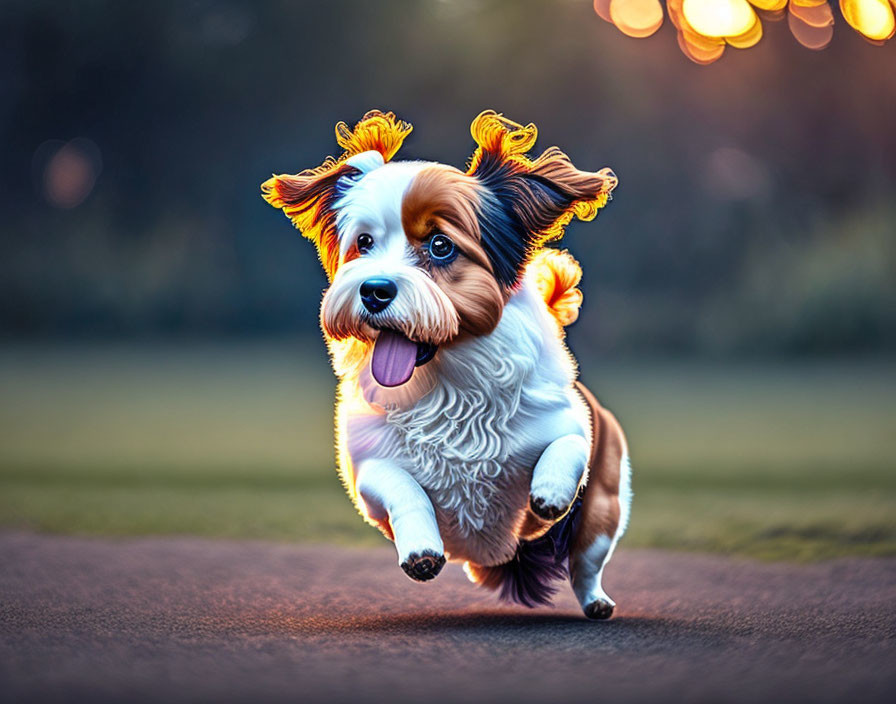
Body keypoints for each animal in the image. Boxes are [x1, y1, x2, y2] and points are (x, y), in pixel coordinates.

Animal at [262, 107, 632, 620]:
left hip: (605, 510)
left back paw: (596, 600)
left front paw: (552, 491)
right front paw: (420, 550)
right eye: (363, 243)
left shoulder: (574, 422)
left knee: (587, 563)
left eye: (440, 245)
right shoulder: (368, 467)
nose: (373, 290)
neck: (447, 388)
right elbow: (402, 487)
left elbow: (568, 445)